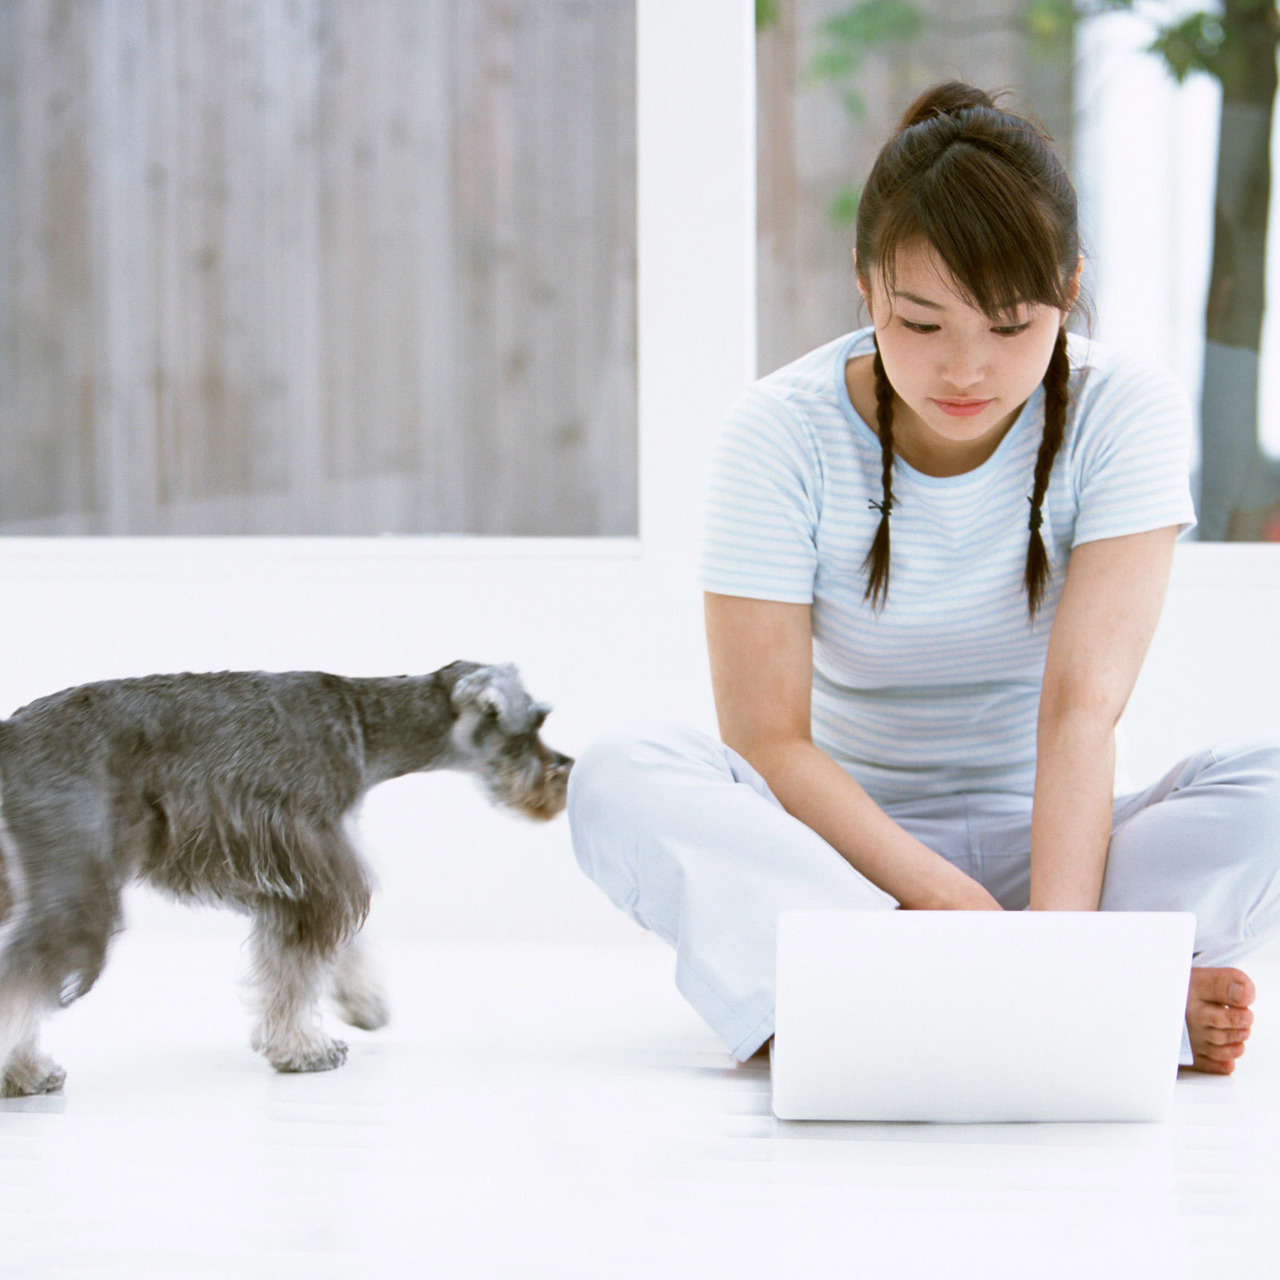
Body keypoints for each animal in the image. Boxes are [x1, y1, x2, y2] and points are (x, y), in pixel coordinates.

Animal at [0, 665, 570, 1095]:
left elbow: (341, 948)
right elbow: (296, 975)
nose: (564, 772)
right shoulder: (313, 876)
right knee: (26, 968)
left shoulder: (314, 867)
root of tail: (10, 736)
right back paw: (23, 1068)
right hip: (75, 888)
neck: (366, 723)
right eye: (534, 723)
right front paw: (304, 1048)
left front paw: (365, 1005)